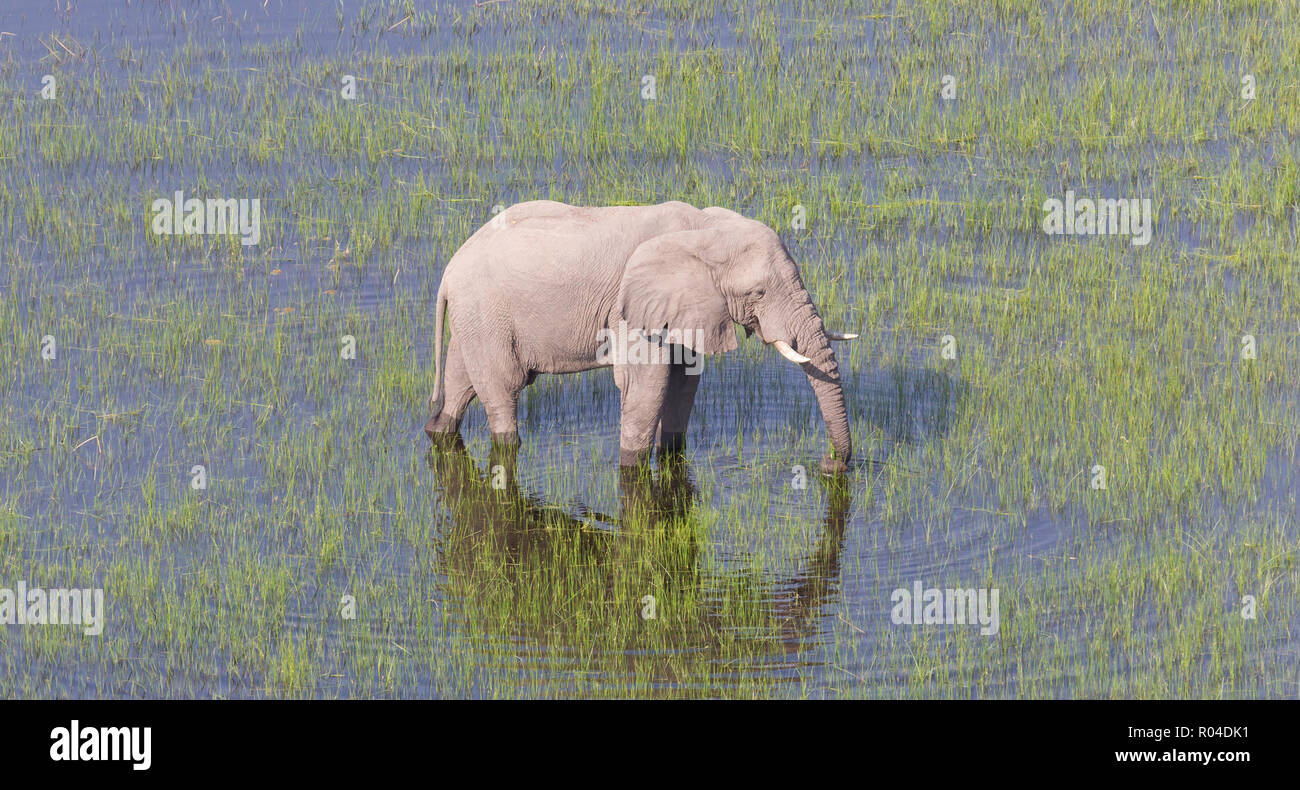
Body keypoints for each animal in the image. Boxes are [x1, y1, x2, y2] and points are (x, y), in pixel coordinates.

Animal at [421, 203, 857, 475]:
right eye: (759, 293)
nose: (827, 465)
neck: (704, 228)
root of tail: (449, 270)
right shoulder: (631, 308)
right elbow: (647, 382)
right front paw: (632, 469)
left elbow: (684, 380)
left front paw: (671, 455)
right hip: (486, 315)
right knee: (504, 391)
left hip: (475, 319)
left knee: (461, 384)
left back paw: (437, 430)